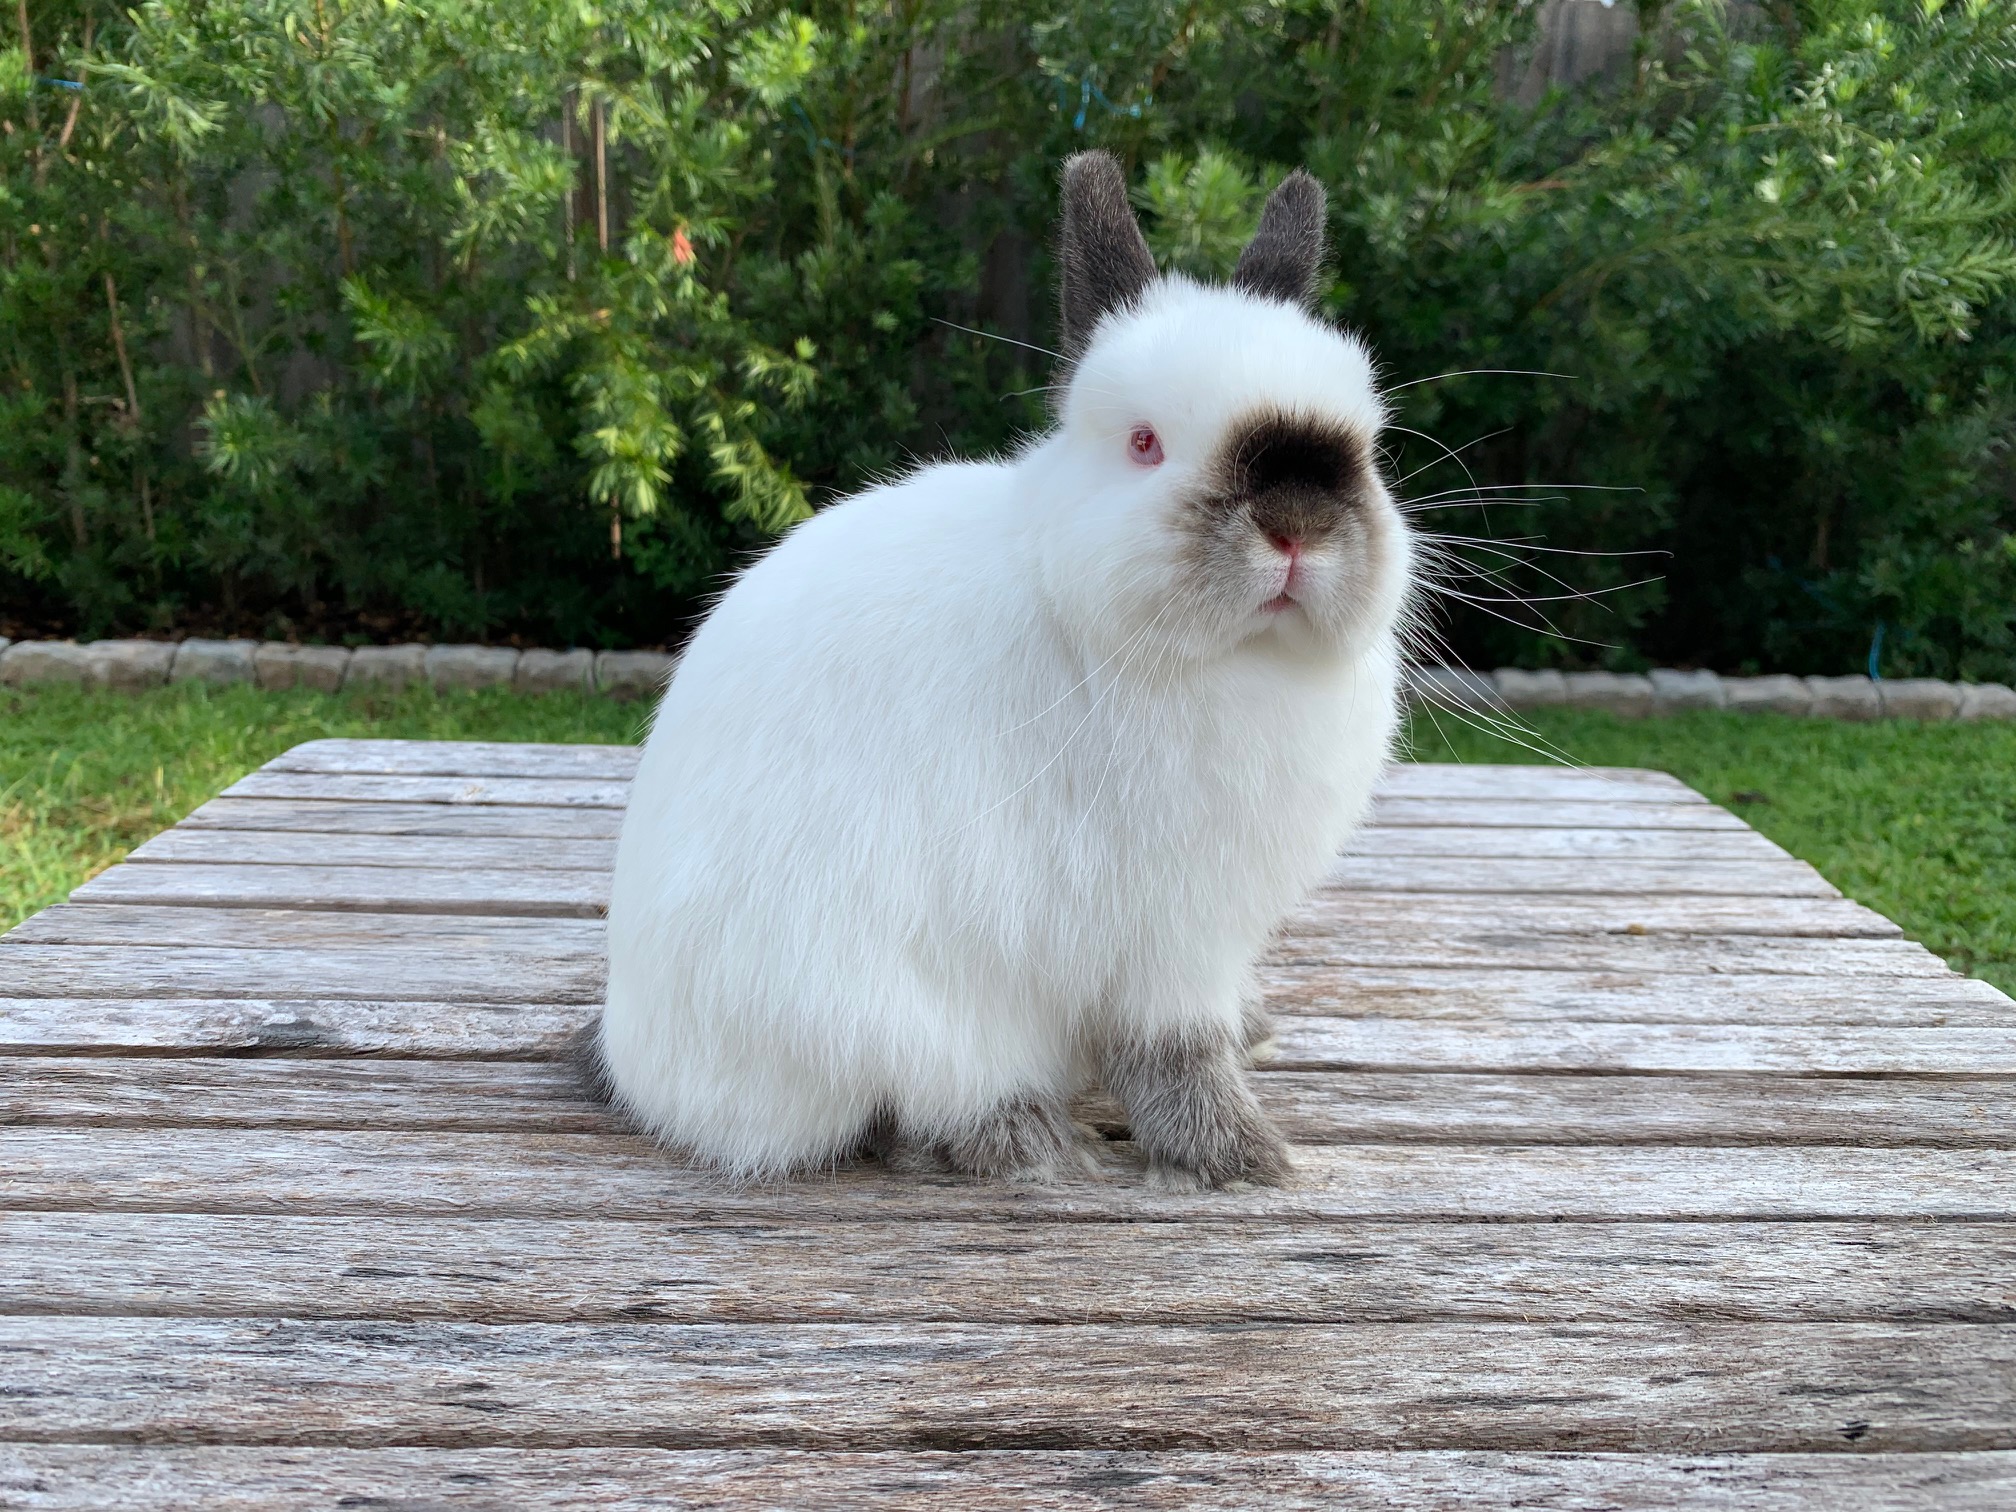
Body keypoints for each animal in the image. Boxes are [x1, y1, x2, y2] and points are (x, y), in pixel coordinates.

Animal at [596, 154, 1419, 1193]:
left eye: (1366, 441)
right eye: (1145, 443)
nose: (1299, 525)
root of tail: (640, 1067)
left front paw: (1251, 1062)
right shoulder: (1170, 937)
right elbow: (1172, 1054)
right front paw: (1244, 1157)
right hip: (892, 1009)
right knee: (917, 1103)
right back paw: (1035, 1142)